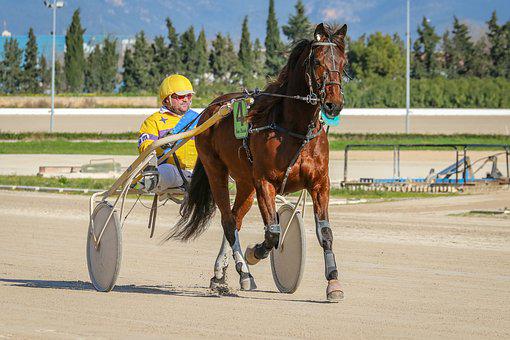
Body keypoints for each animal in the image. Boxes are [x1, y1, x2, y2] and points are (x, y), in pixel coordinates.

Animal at [169, 23, 348, 300]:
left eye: (343, 61)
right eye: (317, 61)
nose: (333, 104)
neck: (294, 129)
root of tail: (212, 108)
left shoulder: (320, 183)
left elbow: (325, 232)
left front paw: (333, 283)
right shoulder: (265, 182)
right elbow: (273, 233)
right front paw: (255, 253)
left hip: (245, 182)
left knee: (235, 219)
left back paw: (219, 275)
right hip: (216, 170)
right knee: (228, 221)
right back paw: (244, 273)